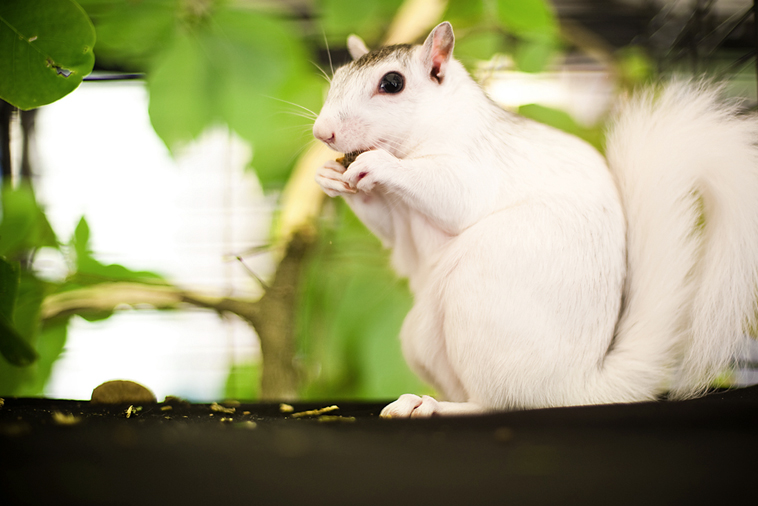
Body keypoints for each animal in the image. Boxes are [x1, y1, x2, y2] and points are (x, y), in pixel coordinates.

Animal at [312, 21, 758, 418]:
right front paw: (330, 177)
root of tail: (574, 388)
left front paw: (377, 164)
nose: (322, 133)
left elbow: (455, 196)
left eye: (392, 83)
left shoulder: (477, 167)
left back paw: (435, 407)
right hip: (420, 339)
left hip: (479, 301)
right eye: (337, 78)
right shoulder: (397, 221)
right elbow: (390, 234)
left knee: (500, 402)